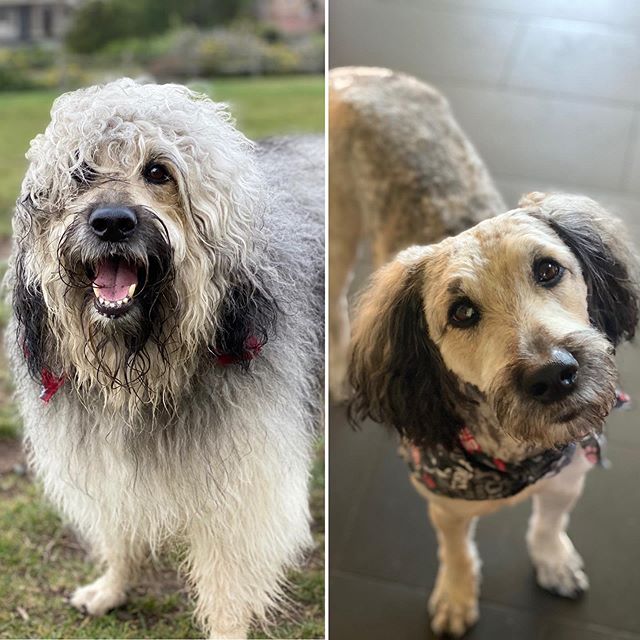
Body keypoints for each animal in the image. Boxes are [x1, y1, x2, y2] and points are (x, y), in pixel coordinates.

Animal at [6, 77, 324, 636]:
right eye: (80, 173)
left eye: (157, 171)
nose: (112, 223)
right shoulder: (107, 461)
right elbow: (120, 531)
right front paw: (112, 586)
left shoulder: (243, 481)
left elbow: (227, 578)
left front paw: (226, 629)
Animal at [350, 192, 640, 636]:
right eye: (461, 312)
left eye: (548, 269)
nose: (552, 376)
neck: (519, 456)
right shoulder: (446, 508)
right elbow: (457, 553)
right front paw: (456, 597)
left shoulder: (567, 479)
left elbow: (549, 525)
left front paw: (554, 561)